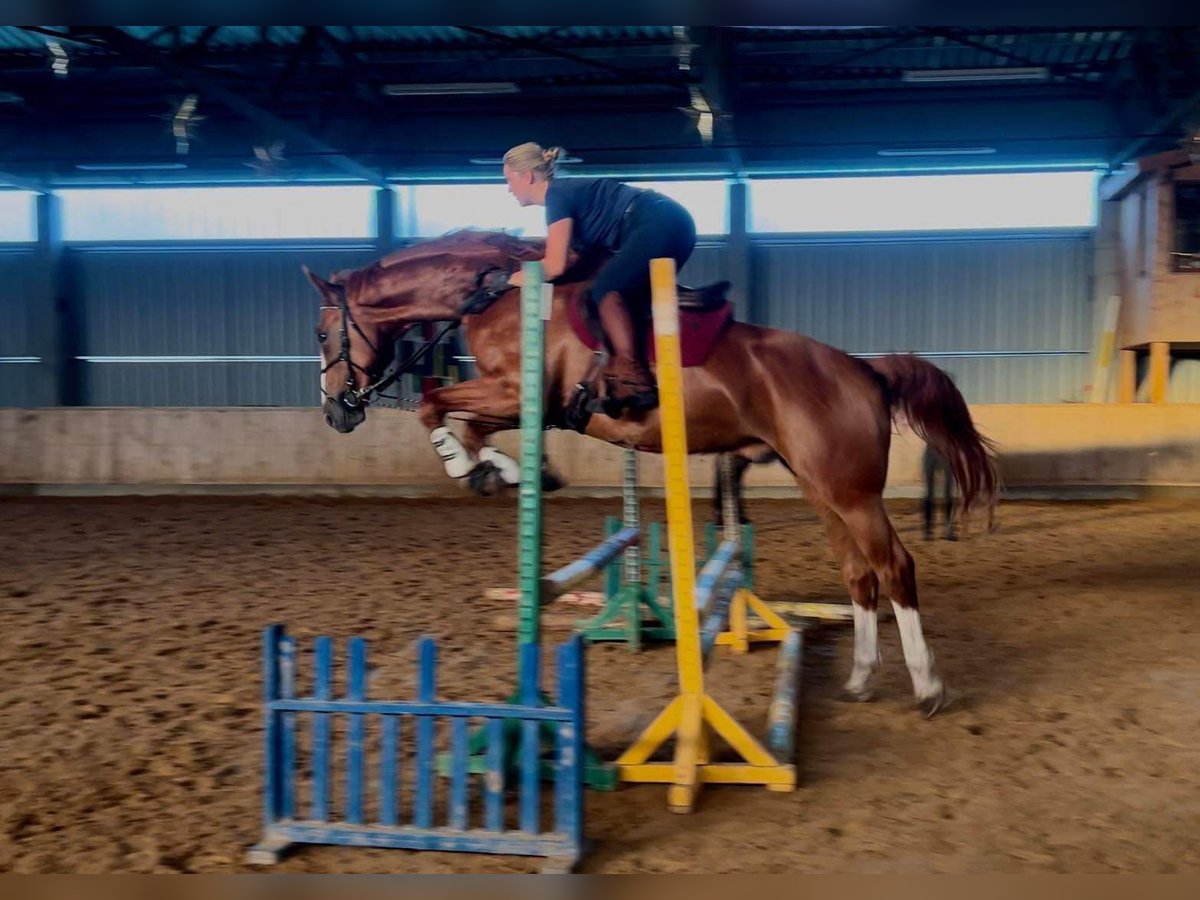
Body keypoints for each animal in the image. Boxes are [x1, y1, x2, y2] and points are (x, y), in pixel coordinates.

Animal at [304, 230, 998, 720]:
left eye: (322, 332)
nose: (336, 412)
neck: (499, 294)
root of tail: (863, 368)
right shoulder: (515, 402)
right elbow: (459, 418)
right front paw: (496, 468)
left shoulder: (517, 393)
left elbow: (434, 406)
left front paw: (468, 463)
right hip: (821, 488)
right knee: (858, 574)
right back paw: (859, 679)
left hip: (850, 492)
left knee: (894, 567)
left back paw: (928, 687)